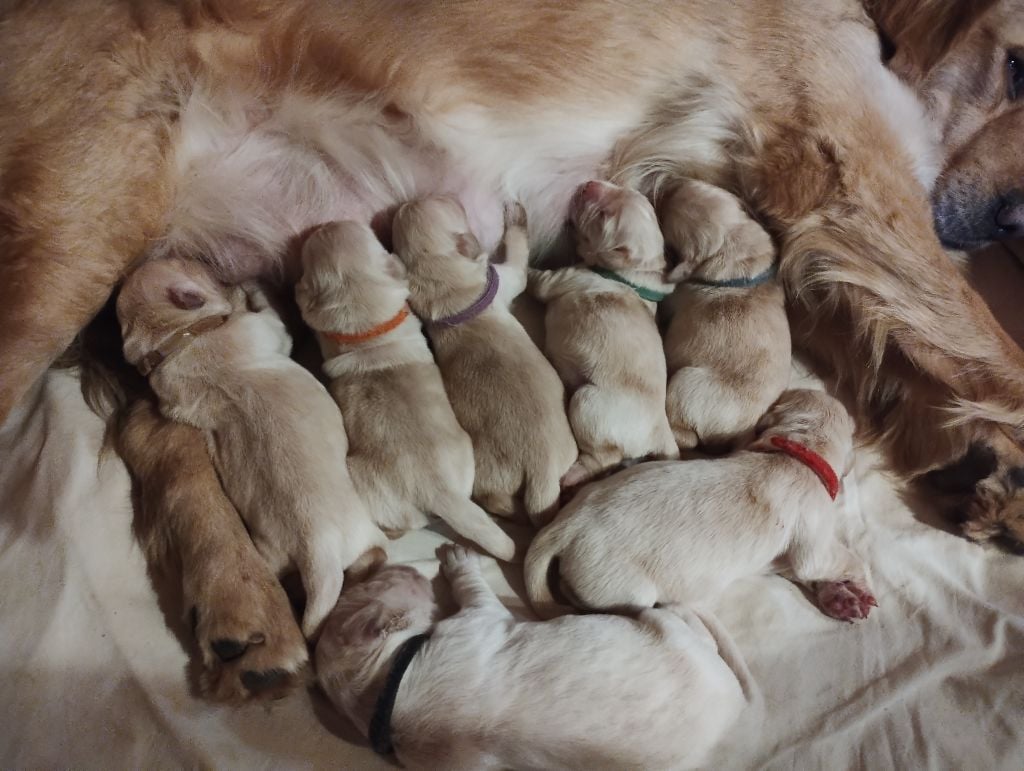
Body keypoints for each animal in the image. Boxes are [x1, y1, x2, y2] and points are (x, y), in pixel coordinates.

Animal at [117, 259, 387, 638]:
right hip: (363, 534)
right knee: (374, 555)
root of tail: (317, 556)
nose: (219, 268)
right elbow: (274, 320)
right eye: (191, 265)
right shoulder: (264, 328)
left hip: (272, 555)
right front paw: (255, 289)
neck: (178, 338)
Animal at [391, 195, 581, 528]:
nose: (449, 196)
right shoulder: (505, 275)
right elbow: (517, 252)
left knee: (497, 500)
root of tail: (539, 471)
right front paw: (516, 216)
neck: (433, 275)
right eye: (445, 202)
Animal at [524, 387, 876, 622]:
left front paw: (840, 598)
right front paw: (862, 586)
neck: (795, 454)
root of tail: (566, 525)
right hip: (621, 585)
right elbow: (839, 560)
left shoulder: (782, 560)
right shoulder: (813, 542)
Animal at [655, 177, 790, 448]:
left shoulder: (675, 297)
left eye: (664, 218)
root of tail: (744, 432)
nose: (667, 184)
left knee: (686, 437)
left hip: (684, 381)